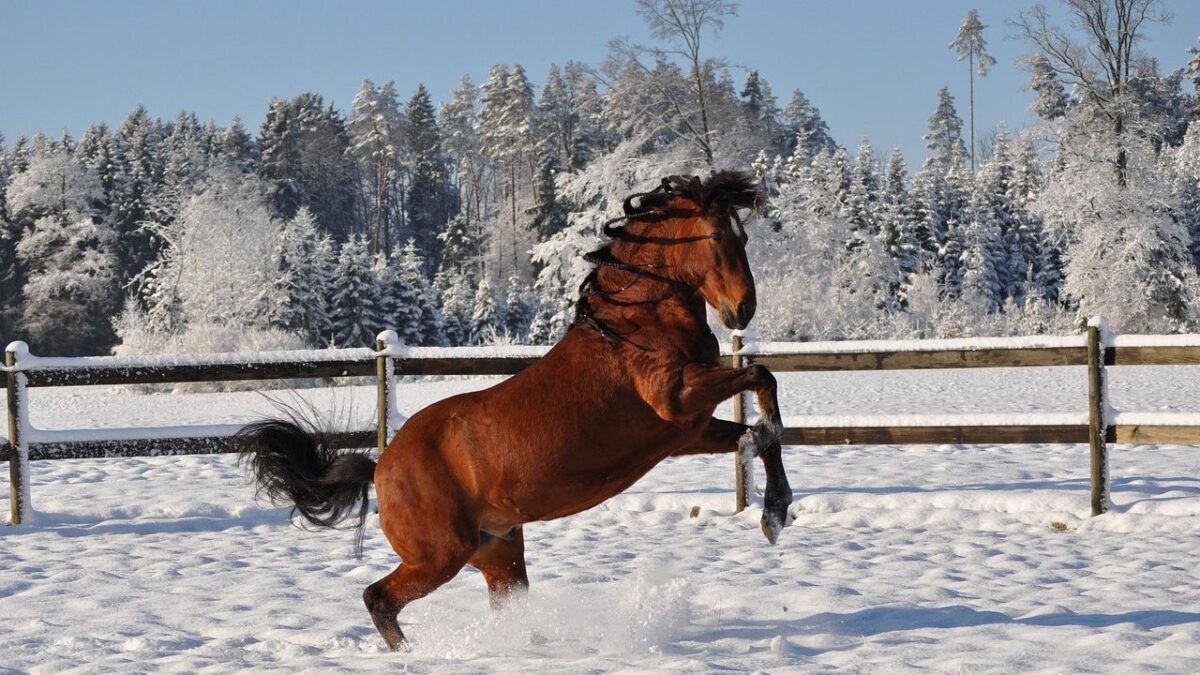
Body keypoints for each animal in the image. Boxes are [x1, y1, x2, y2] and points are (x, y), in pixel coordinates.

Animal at [236, 170, 793, 652]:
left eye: (744, 236)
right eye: (719, 235)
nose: (742, 310)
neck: (635, 325)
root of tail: (381, 466)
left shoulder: (687, 432)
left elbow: (761, 434)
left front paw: (775, 511)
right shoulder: (676, 397)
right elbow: (762, 379)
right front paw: (773, 500)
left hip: (498, 551)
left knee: (499, 603)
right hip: (440, 555)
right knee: (378, 598)